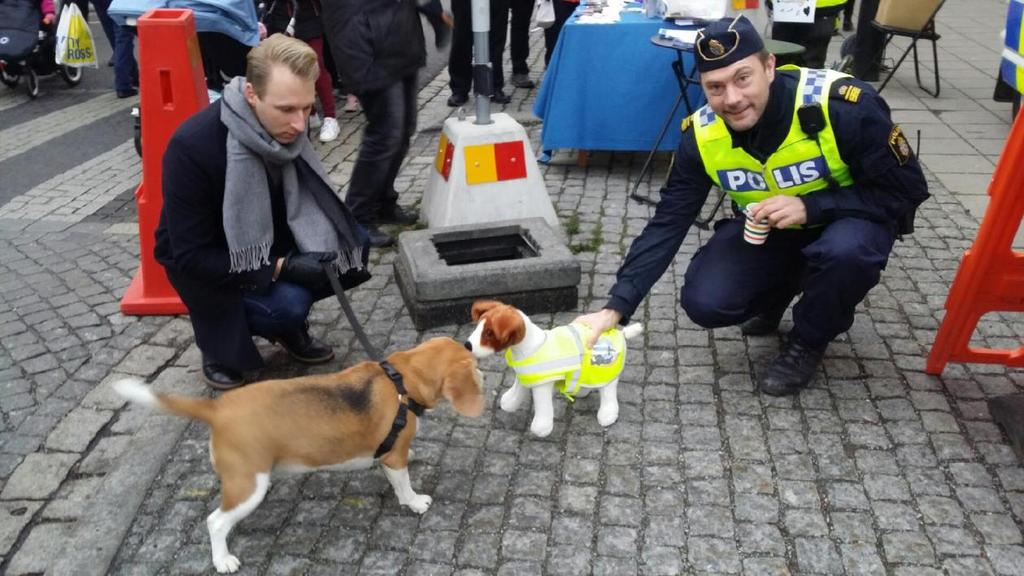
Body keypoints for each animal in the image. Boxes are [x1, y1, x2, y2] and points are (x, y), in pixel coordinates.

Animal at [114, 334, 481, 569]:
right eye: (473, 363)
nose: (479, 363)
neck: (400, 379)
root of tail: (217, 409)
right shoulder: (392, 458)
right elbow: (403, 485)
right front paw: (415, 502)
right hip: (247, 487)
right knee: (215, 522)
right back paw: (223, 560)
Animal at [468, 301, 643, 434]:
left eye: (489, 333)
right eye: (478, 327)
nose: (467, 345)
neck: (532, 348)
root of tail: (621, 333)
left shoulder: (542, 386)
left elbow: (542, 406)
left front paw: (541, 428)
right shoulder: (525, 376)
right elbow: (516, 393)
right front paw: (508, 403)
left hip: (605, 374)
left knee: (608, 390)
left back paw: (607, 415)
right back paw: (581, 392)